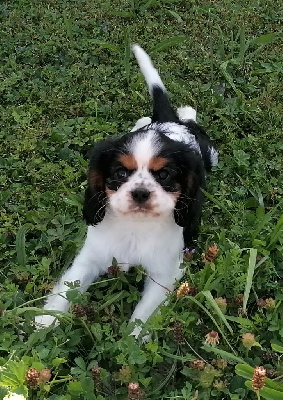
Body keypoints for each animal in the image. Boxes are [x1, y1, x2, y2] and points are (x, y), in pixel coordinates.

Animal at [35, 45, 217, 336]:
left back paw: (188, 111)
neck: (135, 225)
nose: (140, 193)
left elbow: (142, 318)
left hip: (211, 154)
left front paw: (129, 341)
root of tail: (171, 123)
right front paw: (45, 320)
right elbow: (68, 287)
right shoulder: (90, 257)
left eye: (164, 175)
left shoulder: (165, 273)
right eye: (120, 174)